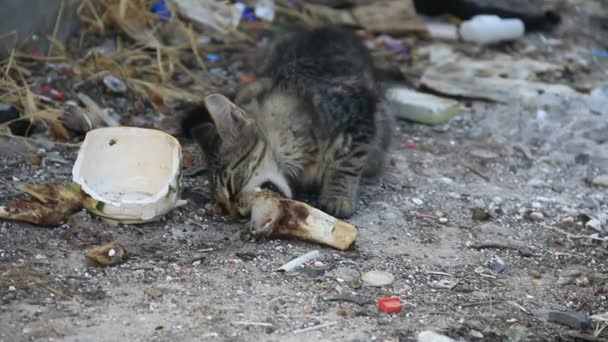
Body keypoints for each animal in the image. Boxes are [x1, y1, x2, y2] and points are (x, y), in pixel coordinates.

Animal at [195, 26, 394, 219]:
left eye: (231, 184)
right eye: (224, 206)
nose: (238, 214)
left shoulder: (358, 110)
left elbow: (347, 163)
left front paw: (338, 196)